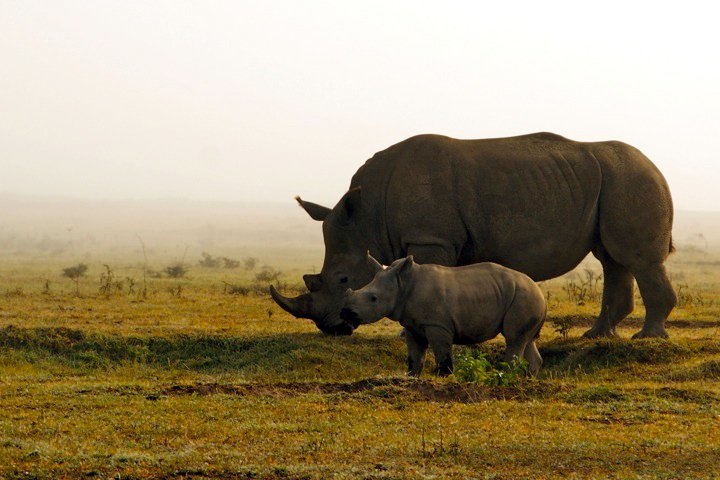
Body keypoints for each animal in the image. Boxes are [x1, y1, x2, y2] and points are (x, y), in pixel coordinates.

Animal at [270, 132, 676, 338]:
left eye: (342, 279)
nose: (330, 327)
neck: (367, 215)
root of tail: (656, 167)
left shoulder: (429, 239)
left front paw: (411, 334)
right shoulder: (429, 239)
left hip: (632, 180)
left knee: (636, 258)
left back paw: (647, 338)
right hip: (615, 181)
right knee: (613, 258)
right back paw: (596, 337)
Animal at [341, 254, 547, 376]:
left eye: (373, 299)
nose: (345, 313)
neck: (402, 284)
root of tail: (541, 294)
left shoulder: (437, 324)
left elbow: (441, 352)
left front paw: (445, 376)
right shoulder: (412, 325)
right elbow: (415, 355)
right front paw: (412, 377)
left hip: (524, 297)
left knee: (513, 338)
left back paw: (506, 376)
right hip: (525, 297)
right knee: (526, 340)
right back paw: (528, 380)